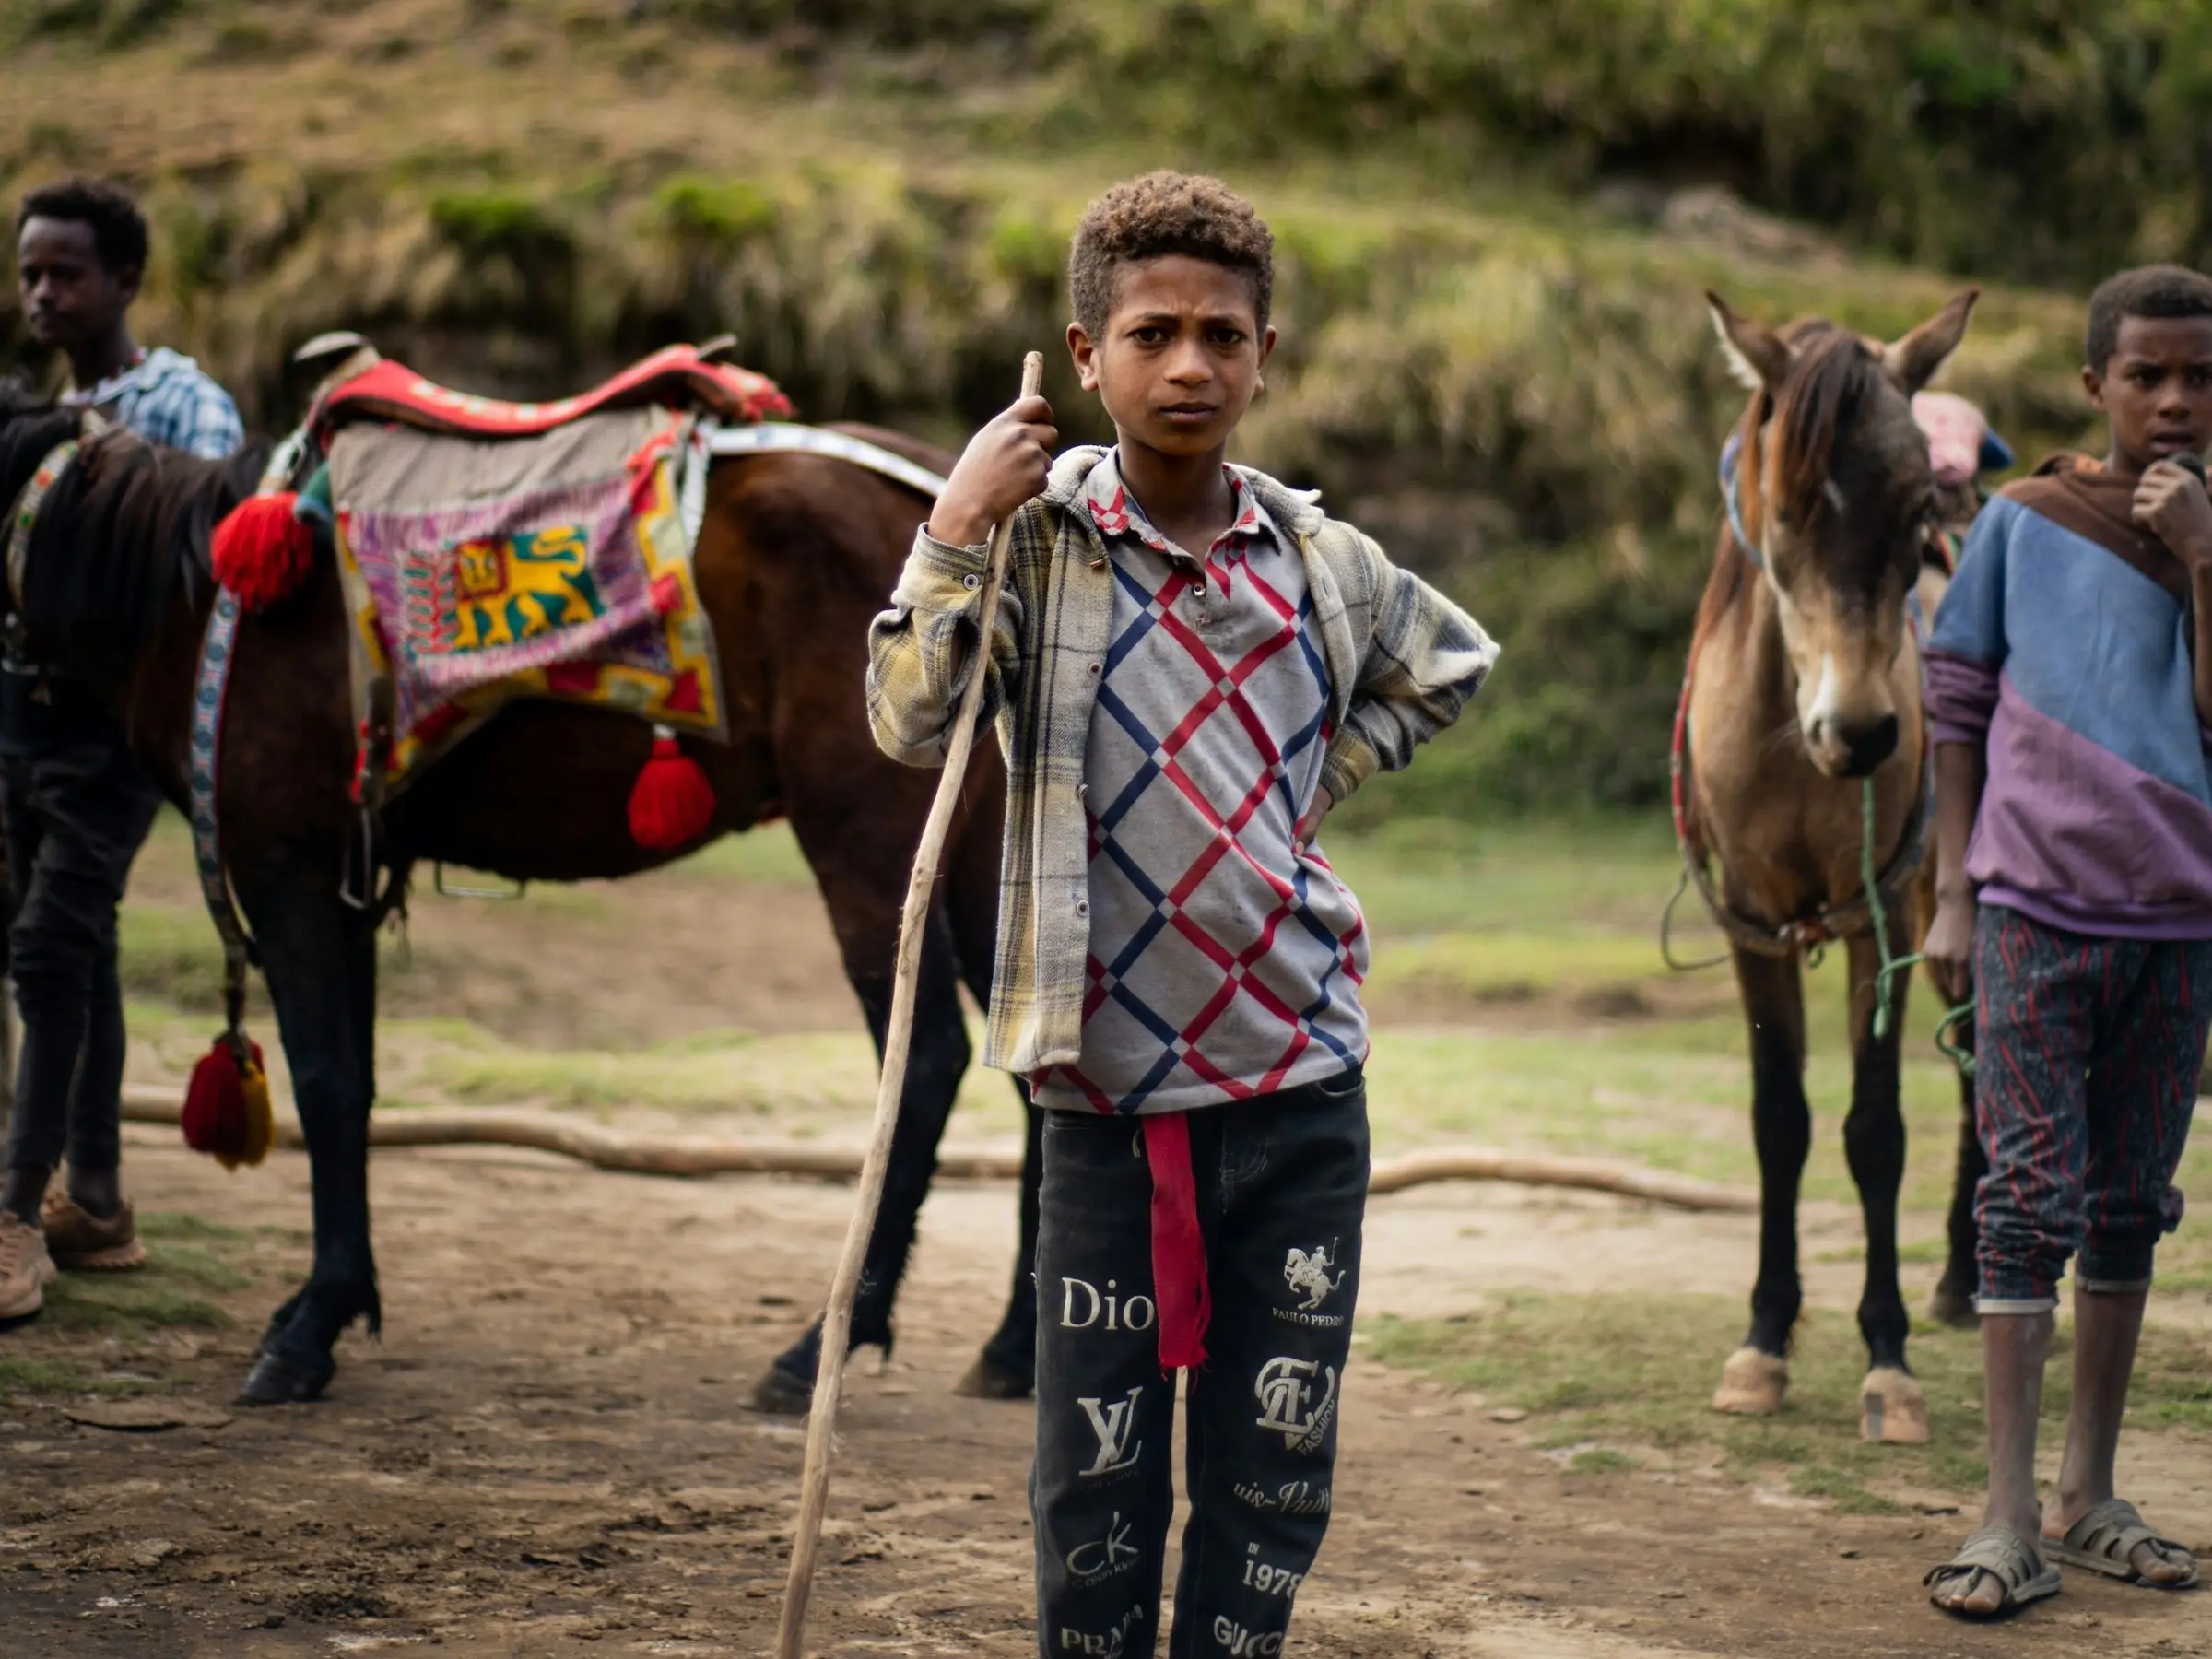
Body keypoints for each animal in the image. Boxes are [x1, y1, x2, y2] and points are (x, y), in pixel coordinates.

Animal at [0, 380, 1040, 1416]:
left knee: (929, 1060)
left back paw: (825, 1343)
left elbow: (325, 1084)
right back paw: (1010, 1348)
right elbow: (357, 1086)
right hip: (982, 841)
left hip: (862, 835)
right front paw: (335, 1299)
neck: (194, 601)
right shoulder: (347, 882)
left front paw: (309, 1329)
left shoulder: (286, 864)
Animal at [1672, 296, 1991, 1441]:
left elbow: (1874, 1131)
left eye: (1913, 509)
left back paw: (1966, 1282)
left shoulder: (1874, 922)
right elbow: (1782, 1125)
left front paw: (1887, 1361)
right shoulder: (1753, 925)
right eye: (1789, 508)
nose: (1860, 732)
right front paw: (1764, 1344)